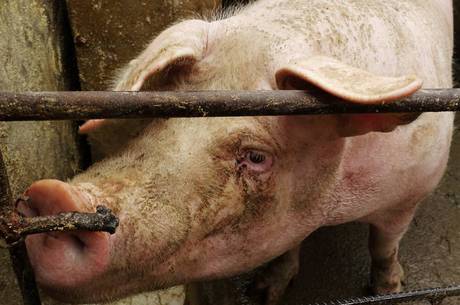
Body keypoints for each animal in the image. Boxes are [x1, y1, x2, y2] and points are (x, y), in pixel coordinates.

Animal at [18, 0, 452, 302]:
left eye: (257, 156)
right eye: (160, 115)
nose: (54, 195)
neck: (337, 203)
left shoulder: (412, 189)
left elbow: (383, 244)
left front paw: (389, 290)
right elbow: (287, 246)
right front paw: (263, 294)